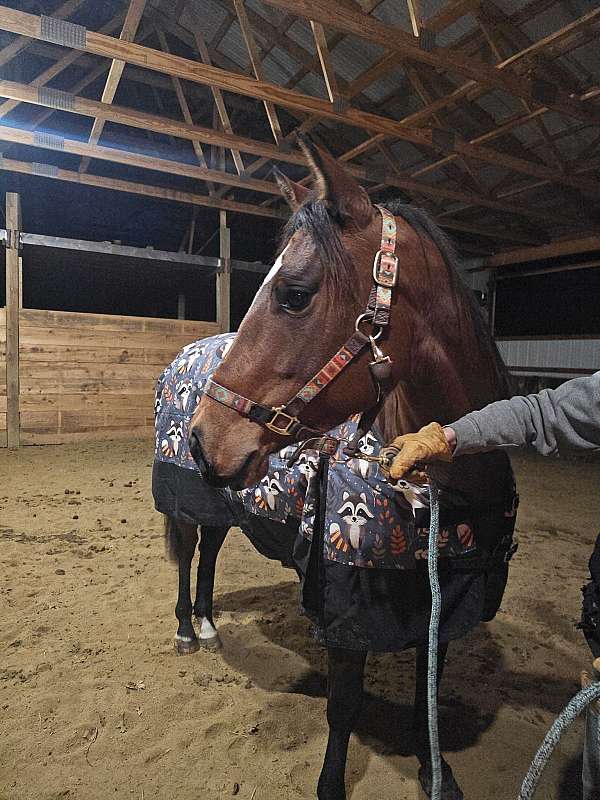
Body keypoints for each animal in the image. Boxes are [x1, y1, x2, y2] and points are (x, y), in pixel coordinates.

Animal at [189, 135, 518, 800]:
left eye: (294, 293)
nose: (204, 439)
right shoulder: (343, 600)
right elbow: (343, 704)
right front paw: (331, 784)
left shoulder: (444, 598)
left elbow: (428, 690)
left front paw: (434, 768)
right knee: (188, 549)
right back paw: (188, 629)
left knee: (209, 548)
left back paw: (208, 623)